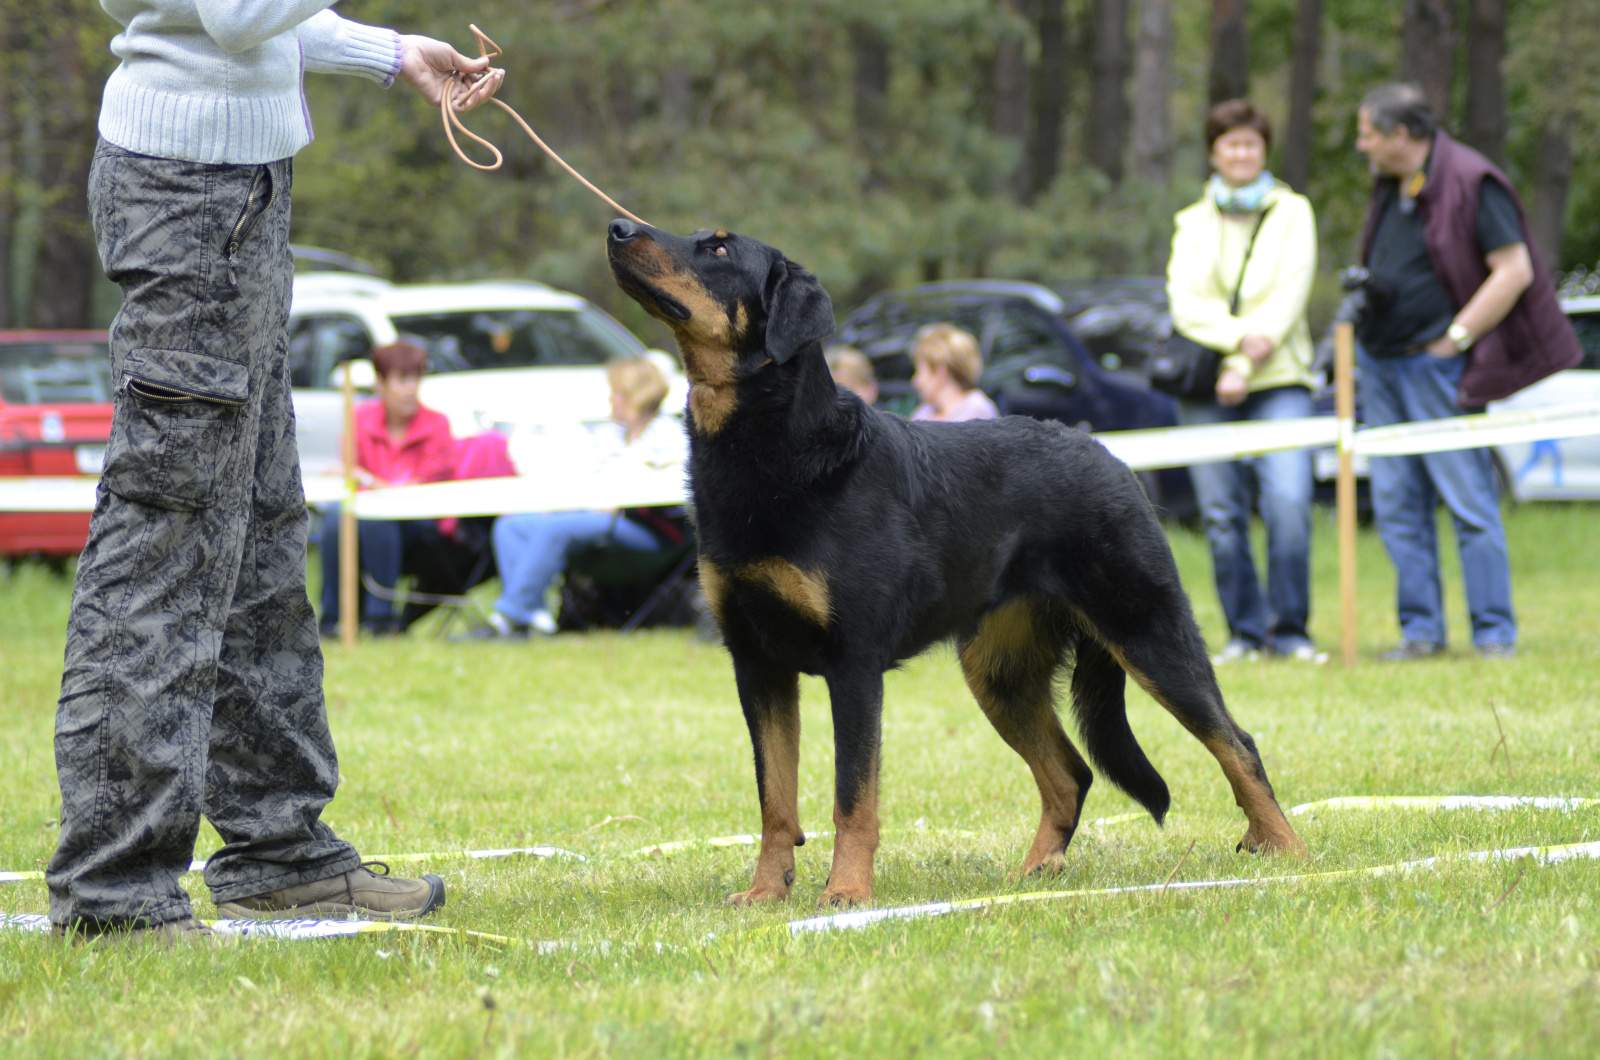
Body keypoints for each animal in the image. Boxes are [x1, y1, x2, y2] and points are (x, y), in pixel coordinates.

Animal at [601, 219, 1299, 909]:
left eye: (718, 248)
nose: (618, 228)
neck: (769, 449)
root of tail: (1110, 456)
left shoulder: (853, 666)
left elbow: (852, 797)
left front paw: (846, 892)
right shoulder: (757, 664)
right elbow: (775, 800)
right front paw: (767, 893)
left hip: (1148, 631)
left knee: (1236, 742)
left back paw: (1286, 851)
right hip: (999, 672)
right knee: (1070, 773)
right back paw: (1032, 875)